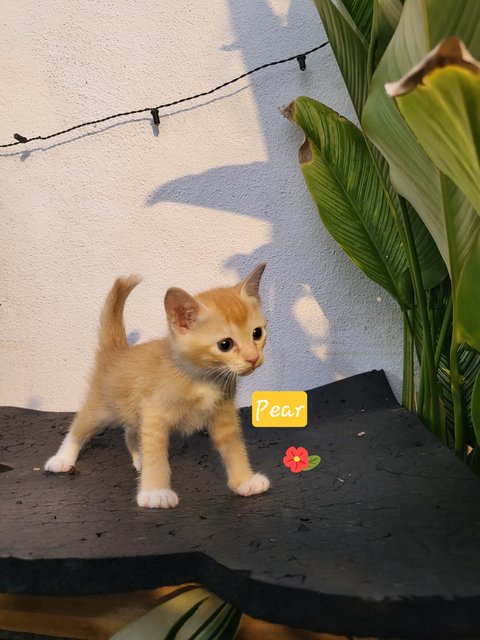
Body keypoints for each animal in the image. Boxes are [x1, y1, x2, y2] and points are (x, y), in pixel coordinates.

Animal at [45, 264, 270, 510]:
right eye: (225, 345)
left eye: (257, 333)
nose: (253, 358)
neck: (201, 378)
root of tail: (117, 352)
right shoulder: (155, 413)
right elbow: (156, 454)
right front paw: (155, 493)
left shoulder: (223, 414)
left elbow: (234, 448)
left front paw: (244, 481)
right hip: (102, 407)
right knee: (79, 427)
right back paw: (62, 459)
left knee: (131, 432)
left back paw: (139, 458)